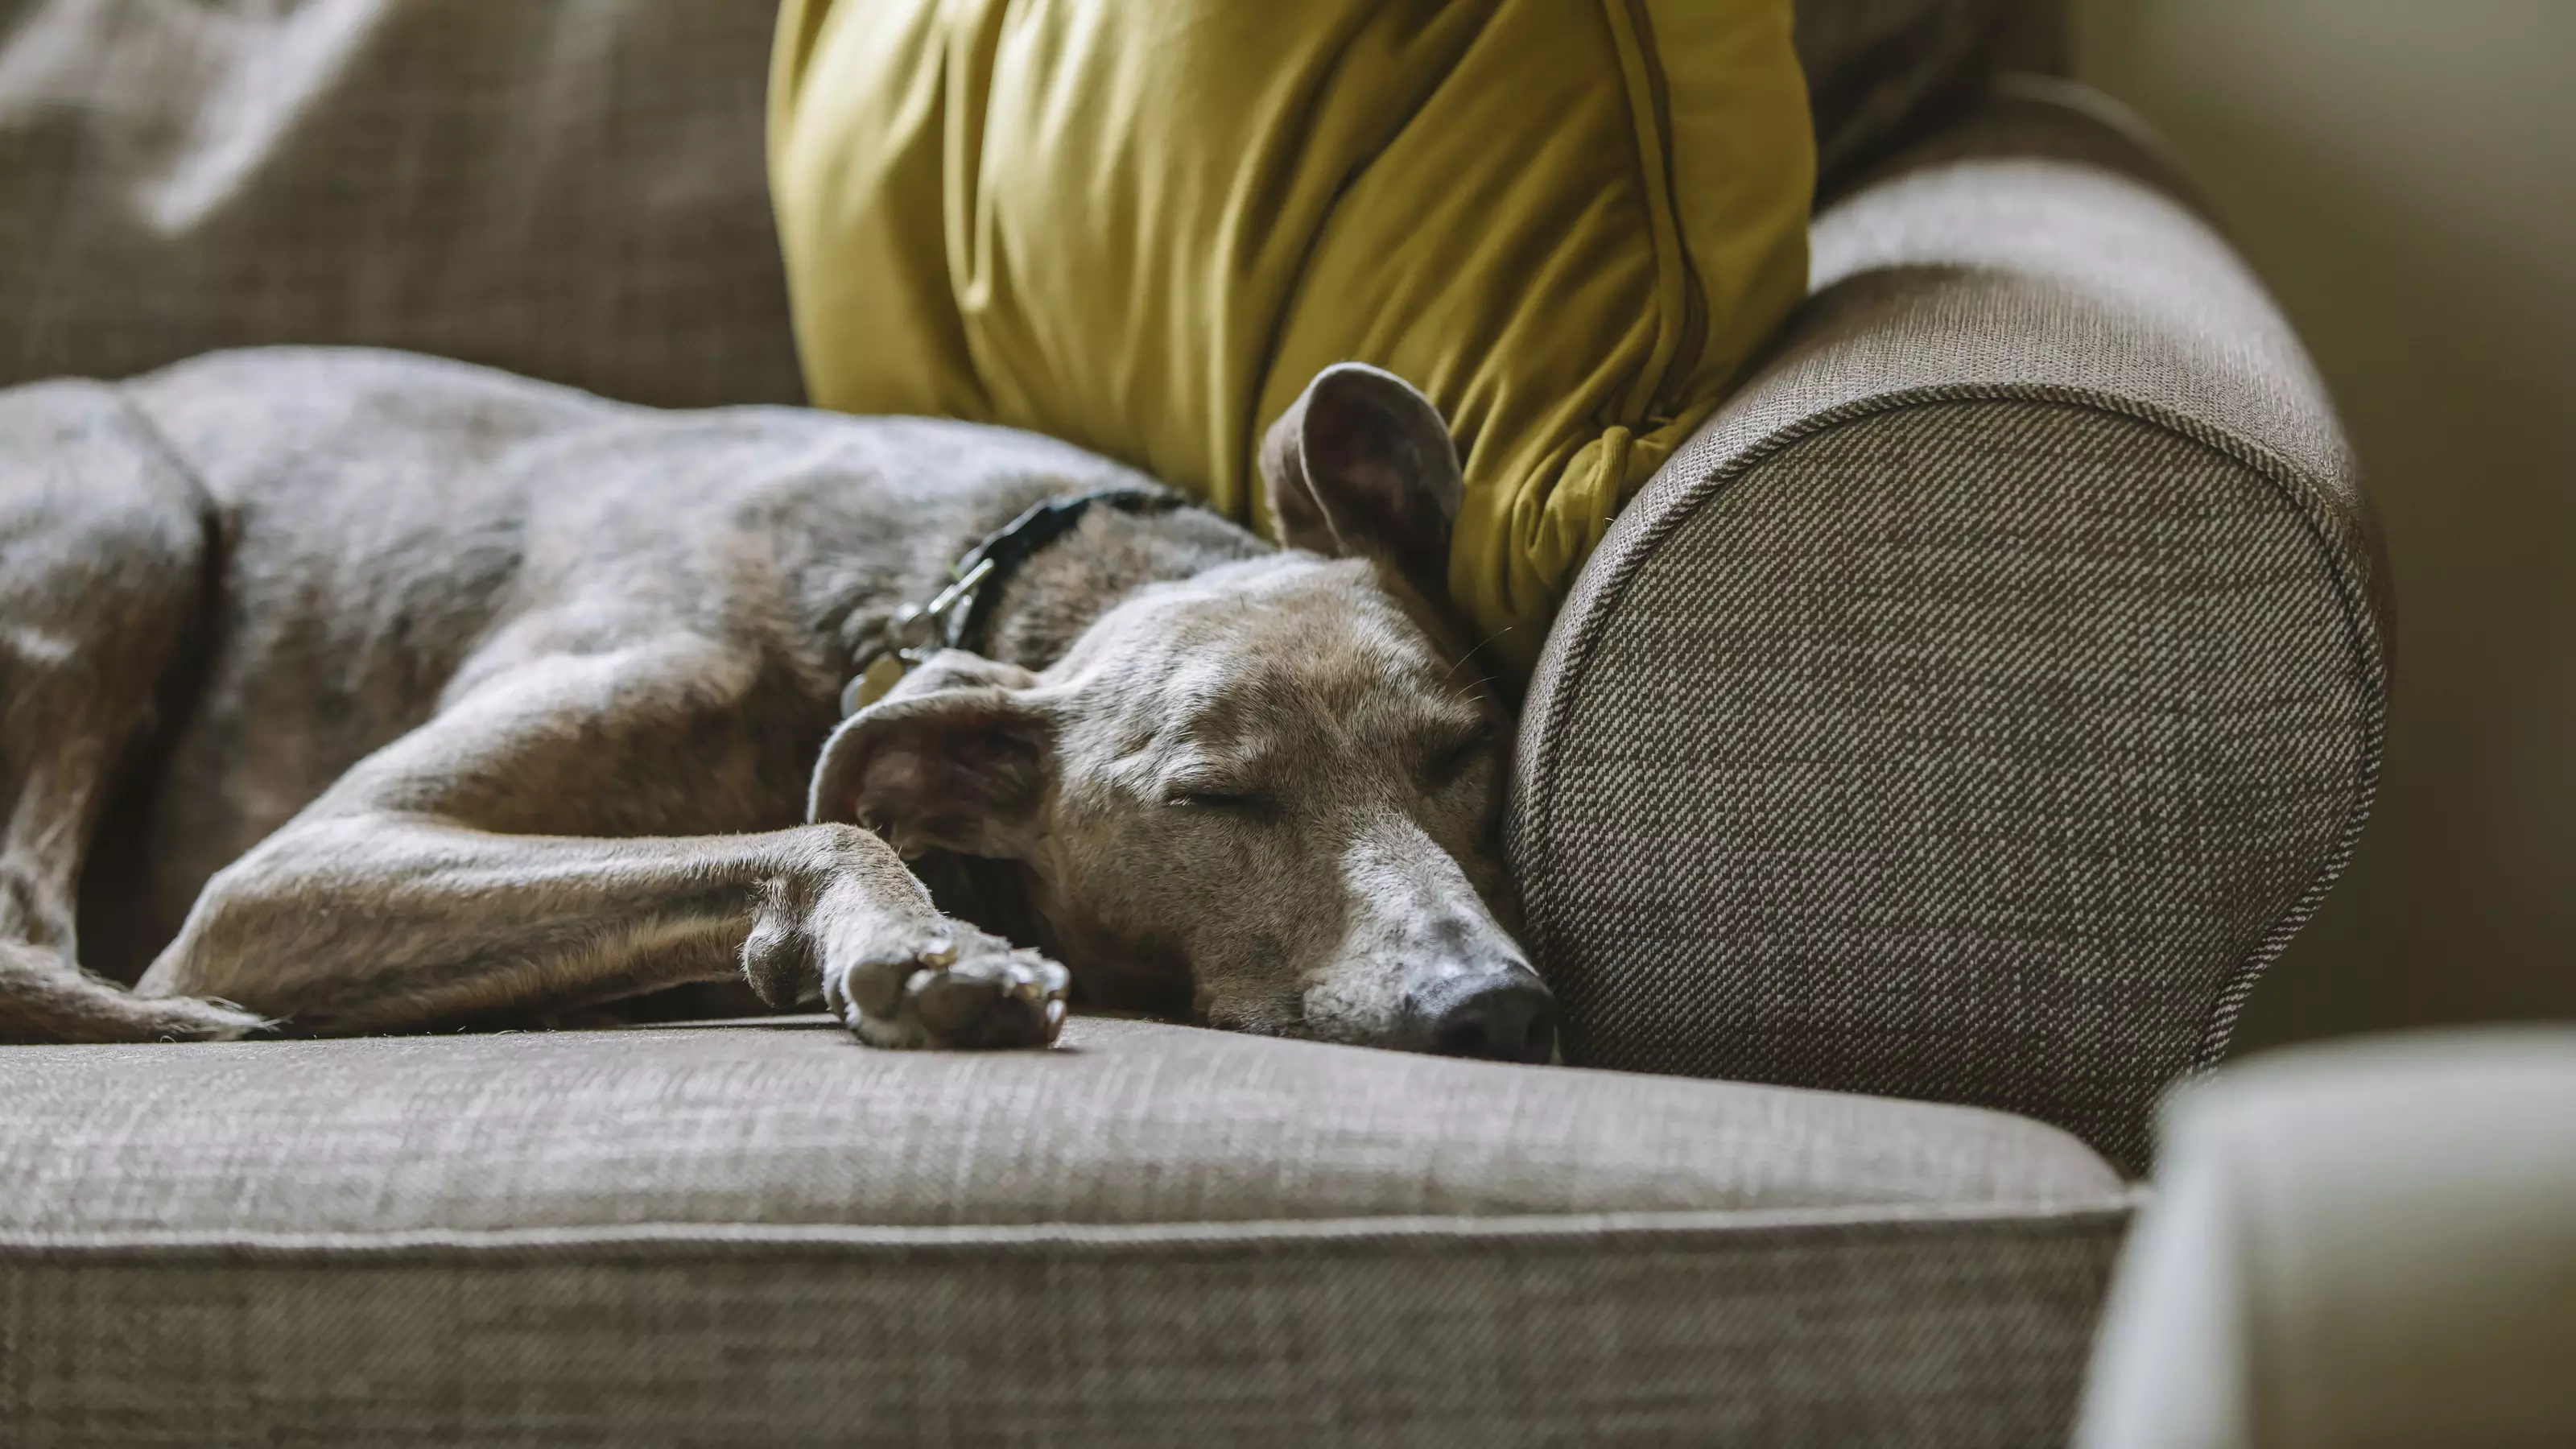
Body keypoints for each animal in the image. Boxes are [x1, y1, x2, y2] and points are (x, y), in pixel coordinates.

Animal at [0, 342, 1546, 1057]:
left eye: (1462, 753)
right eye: (1215, 799)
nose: (1491, 1009)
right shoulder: (275, 881)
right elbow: (823, 827)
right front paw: (930, 951)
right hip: (126, 504)